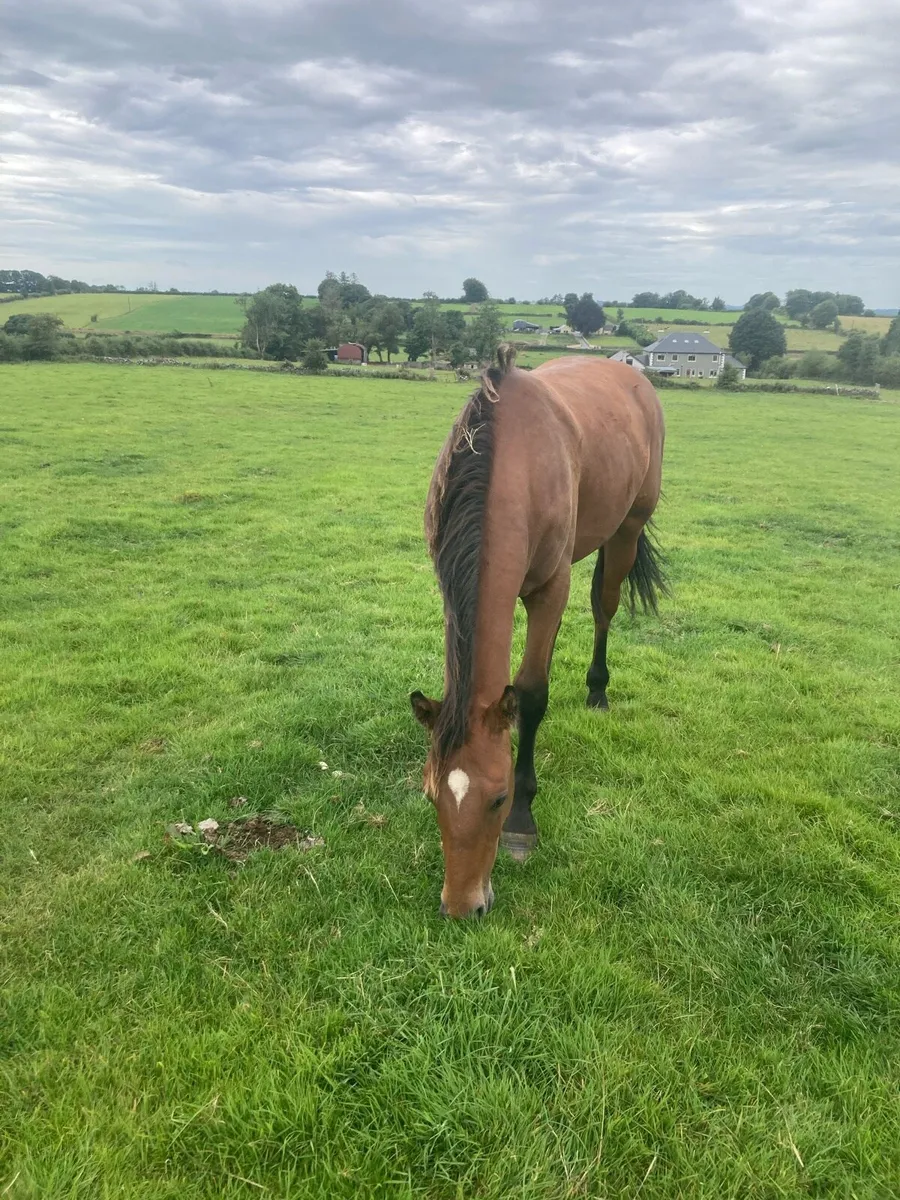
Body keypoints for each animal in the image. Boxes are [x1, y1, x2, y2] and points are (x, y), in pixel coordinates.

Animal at [411, 345, 666, 918]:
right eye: (432, 795)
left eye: (499, 797)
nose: (462, 906)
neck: (511, 466)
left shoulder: (551, 588)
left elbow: (530, 695)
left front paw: (523, 826)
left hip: (628, 527)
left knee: (604, 607)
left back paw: (598, 691)